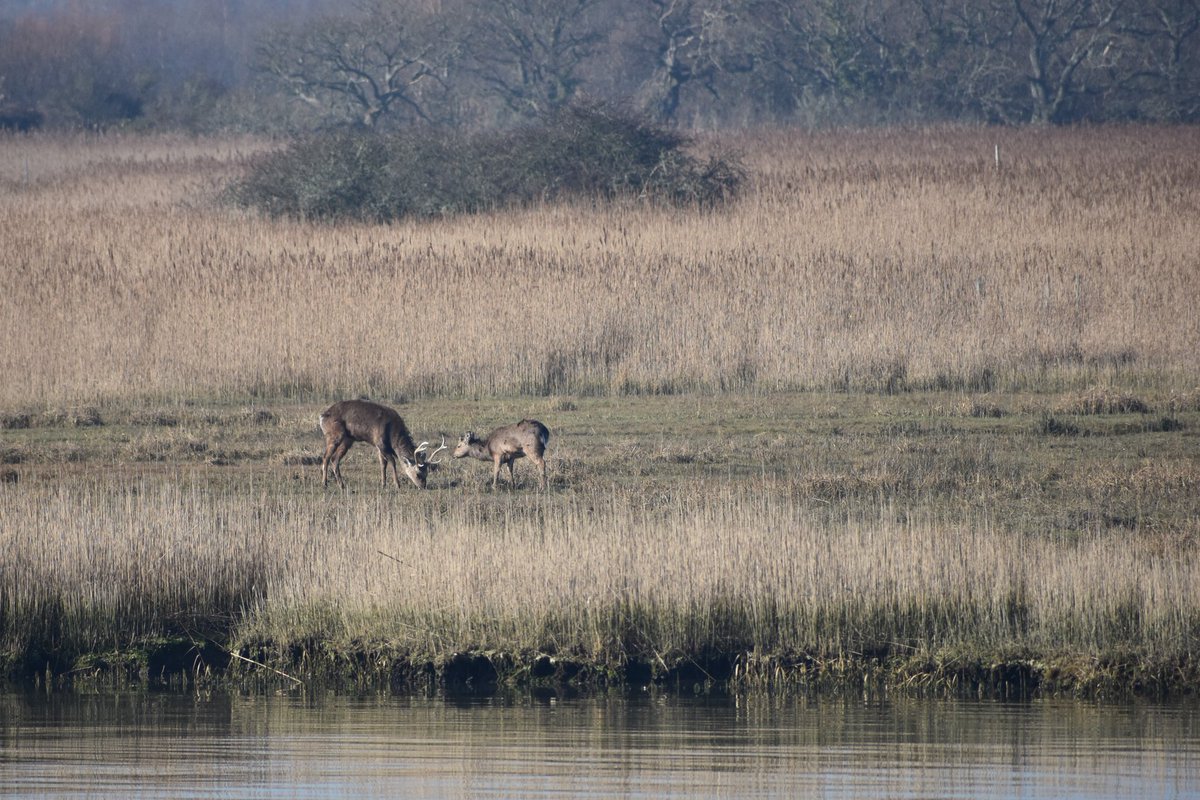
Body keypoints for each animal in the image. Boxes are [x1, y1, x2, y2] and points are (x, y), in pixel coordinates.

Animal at [318, 399, 446, 490]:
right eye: (418, 474)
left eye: (427, 473)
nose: (423, 486)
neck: (392, 435)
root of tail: (322, 417)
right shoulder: (380, 442)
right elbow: (393, 462)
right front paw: (397, 485)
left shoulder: (379, 446)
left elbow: (382, 464)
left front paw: (383, 484)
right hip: (335, 435)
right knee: (326, 457)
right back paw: (324, 484)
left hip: (348, 440)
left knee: (335, 459)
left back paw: (342, 485)